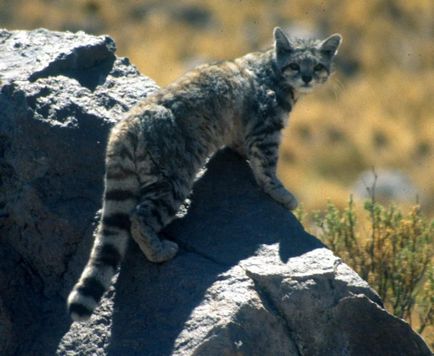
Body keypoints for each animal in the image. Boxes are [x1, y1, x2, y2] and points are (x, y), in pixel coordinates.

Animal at [67, 27, 342, 322]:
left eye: (317, 65)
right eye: (295, 65)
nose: (307, 77)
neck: (273, 69)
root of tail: (124, 127)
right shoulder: (266, 131)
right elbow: (267, 169)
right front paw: (282, 194)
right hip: (172, 178)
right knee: (139, 218)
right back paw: (159, 251)